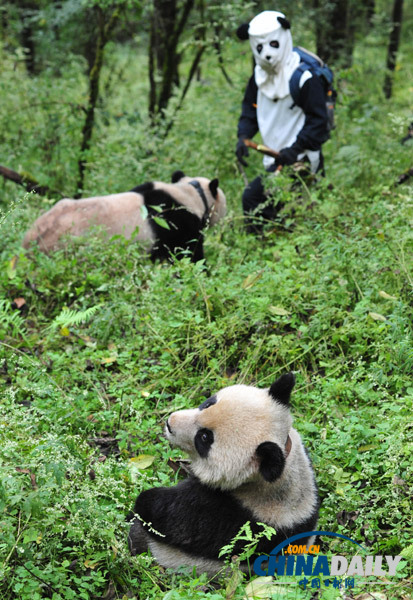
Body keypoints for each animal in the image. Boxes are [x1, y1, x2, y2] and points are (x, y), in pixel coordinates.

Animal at [129, 376, 318, 576]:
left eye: (204, 438)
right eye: (208, 403)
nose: (170, 423)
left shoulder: (232, 516)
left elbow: (169, 518)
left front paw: (146, 500)